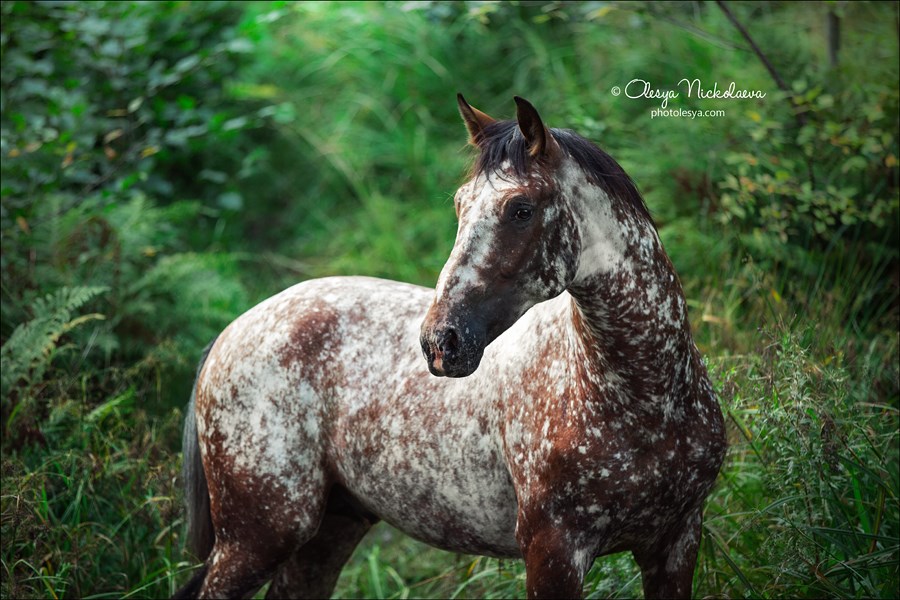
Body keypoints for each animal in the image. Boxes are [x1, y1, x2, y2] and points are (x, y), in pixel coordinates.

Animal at [172, 96, 728, 596]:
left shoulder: (677, 542)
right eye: (461, 206)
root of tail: (232, 331)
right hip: (258, 537)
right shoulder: (554, 553)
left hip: (329, 531)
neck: (642, 399)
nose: (440, 342)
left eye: (520, 208)